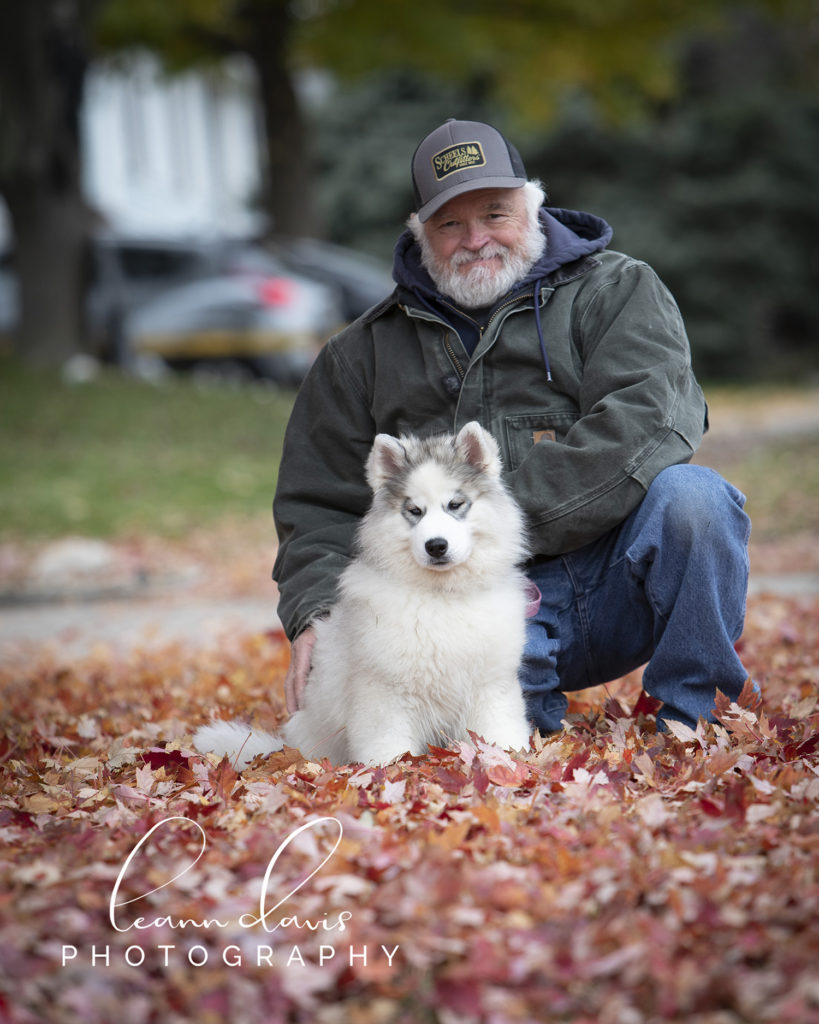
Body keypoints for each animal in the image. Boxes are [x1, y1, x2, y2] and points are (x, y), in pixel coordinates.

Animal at [195, 419, 532, 765]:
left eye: (455, 505)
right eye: (414, 510)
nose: (436, 546)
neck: (441, 595)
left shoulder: (491, 687)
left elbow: (498, 733)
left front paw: (508, 761)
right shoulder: (384, 693)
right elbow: (387, 747)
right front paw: (389, 772)